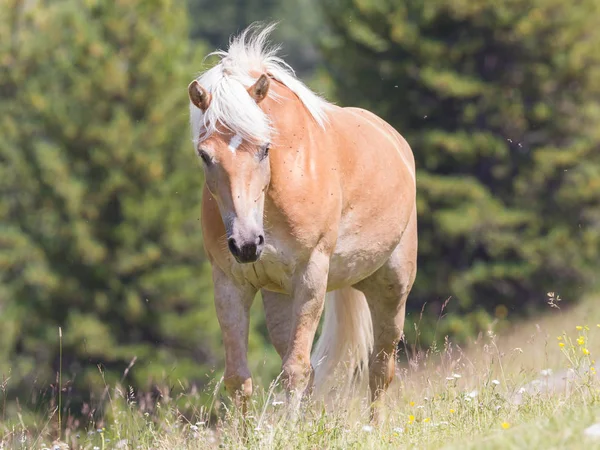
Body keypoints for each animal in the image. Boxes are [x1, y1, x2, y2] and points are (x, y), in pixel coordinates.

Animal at [188, 22, 418, 422]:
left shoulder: (311, 277)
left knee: (380, 368)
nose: (246, 244)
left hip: (392, 288)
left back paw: (374, 427)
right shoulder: (230, 283)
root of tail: (395, 141)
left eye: (264, 148)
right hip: (280, 297)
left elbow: (296, 370)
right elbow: (238, 378)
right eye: (204, 155)